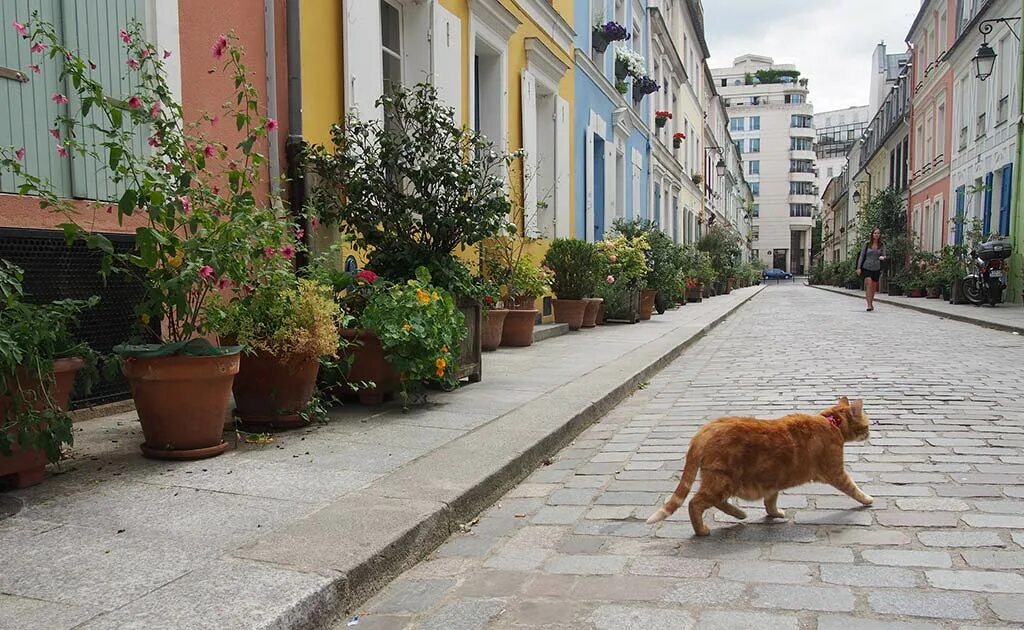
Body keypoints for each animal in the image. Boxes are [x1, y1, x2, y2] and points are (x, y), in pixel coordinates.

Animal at [647, 397, 872, 536]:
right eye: (868, 425)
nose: (870, 434)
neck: (831, 422)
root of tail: (705, 430)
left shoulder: (773, 481)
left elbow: (770, 502)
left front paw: (774, 514)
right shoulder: (836, 472)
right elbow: (854, 488)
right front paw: (867, 499)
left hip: (722, 482)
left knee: (717, 502)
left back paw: (740, 514)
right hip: (722, 481)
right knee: (695, 503)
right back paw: (702, 530)